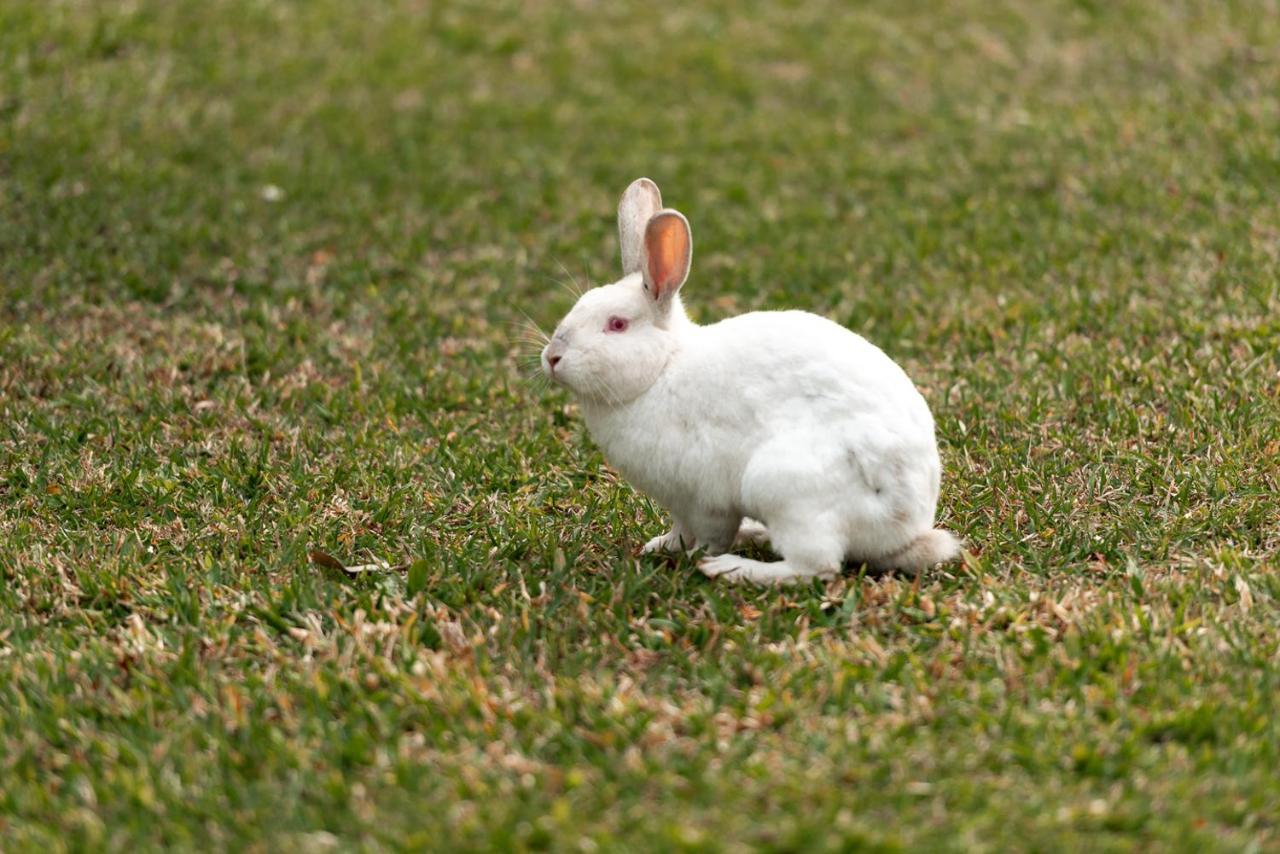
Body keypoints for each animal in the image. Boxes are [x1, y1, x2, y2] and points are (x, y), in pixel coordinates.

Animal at [540, 176, 962, 583]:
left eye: (617, 324)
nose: (552, 358)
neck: (661, 370)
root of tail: (907, 524)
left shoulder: (704, 499)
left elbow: (708, 534)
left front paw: (696, 557)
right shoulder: (679, 504)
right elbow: (679, 530)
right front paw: (661, 546)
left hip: (784, 488)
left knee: (815, 568)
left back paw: (732, 569)